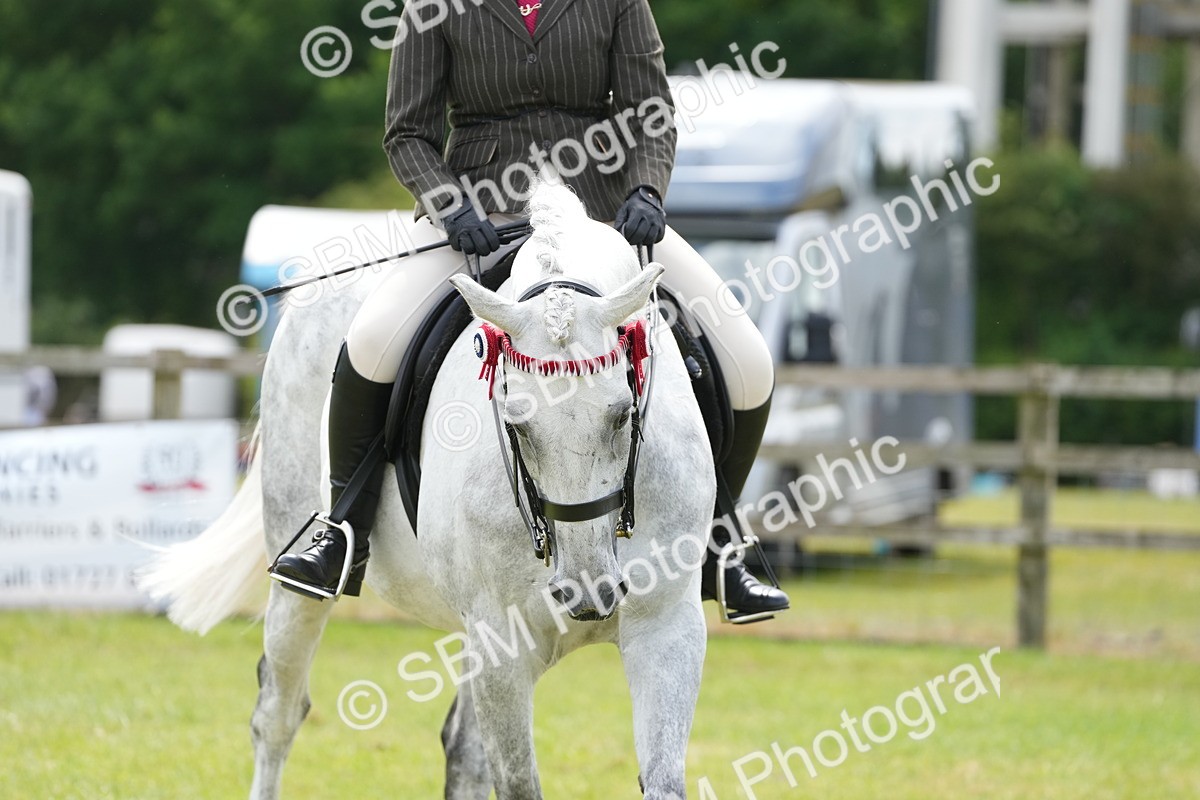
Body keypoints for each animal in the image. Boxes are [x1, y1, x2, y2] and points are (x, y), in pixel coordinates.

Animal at [140, 181, 716, 799]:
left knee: (461, 750)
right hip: (297, 572)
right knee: (277, 713)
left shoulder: (667, 627)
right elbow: (518, 783)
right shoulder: (500, 644)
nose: (588, 590)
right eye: (515, 424)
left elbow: (662, 780)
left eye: (622, 415)